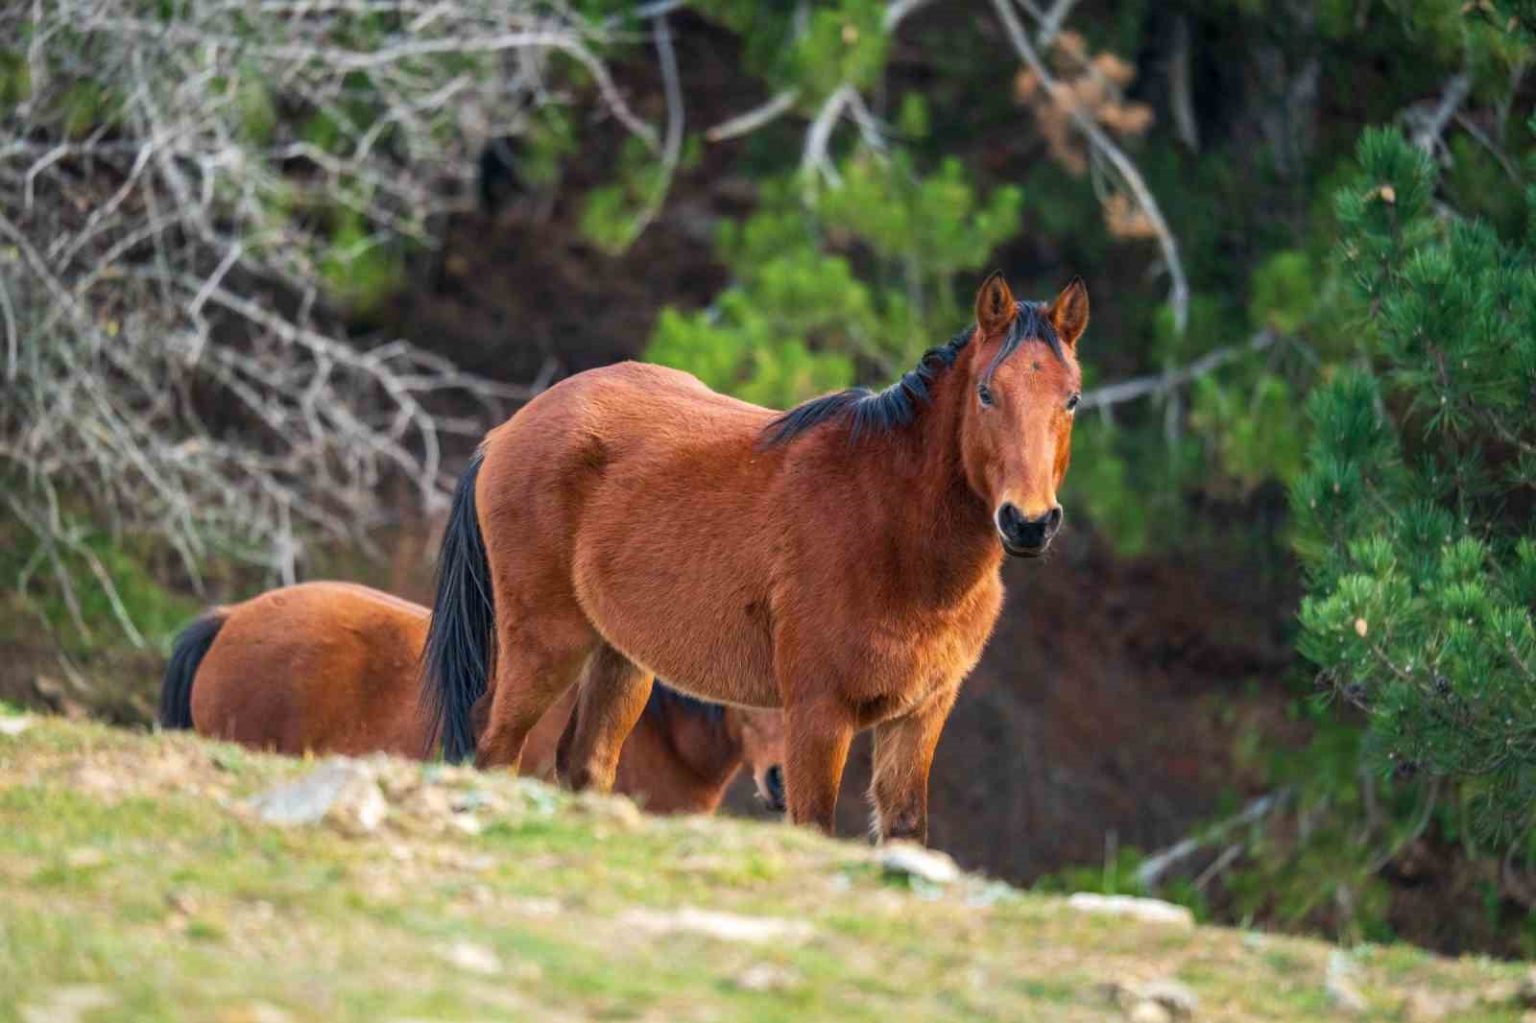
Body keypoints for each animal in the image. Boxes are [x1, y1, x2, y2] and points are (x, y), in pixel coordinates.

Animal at [421, 272, 1087, 842]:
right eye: (986, 393)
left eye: (1072, 399)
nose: (1029, 522)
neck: (888, 525)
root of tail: (507, 431)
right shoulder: (818, 714)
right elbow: (814, 824)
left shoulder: (920, 715)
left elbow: (903, 831)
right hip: (545, 645)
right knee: (496, 749)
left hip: (620, 660)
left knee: (584, 764)